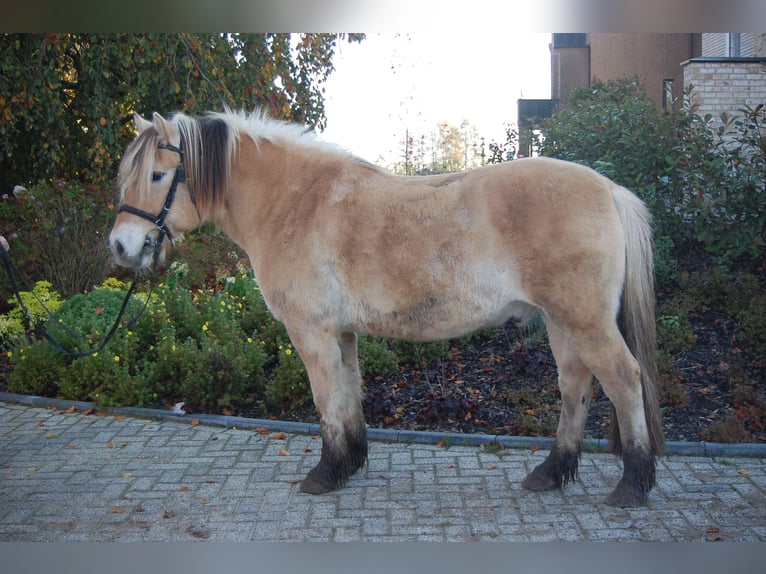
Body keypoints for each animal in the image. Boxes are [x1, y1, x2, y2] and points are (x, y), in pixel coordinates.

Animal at [108, 108, 664, 508]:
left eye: (158, 175)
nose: (121, 246)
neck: (295, 203)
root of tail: (609, 189)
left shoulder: (311, 332)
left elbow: (326, 400)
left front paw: (325, 473)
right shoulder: (341, 332)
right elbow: (349, 393)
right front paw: (350, 462)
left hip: (584, 321)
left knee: (623, 379)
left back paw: (632, 484)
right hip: (562, 321)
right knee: (576, 386)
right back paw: (550, 472)